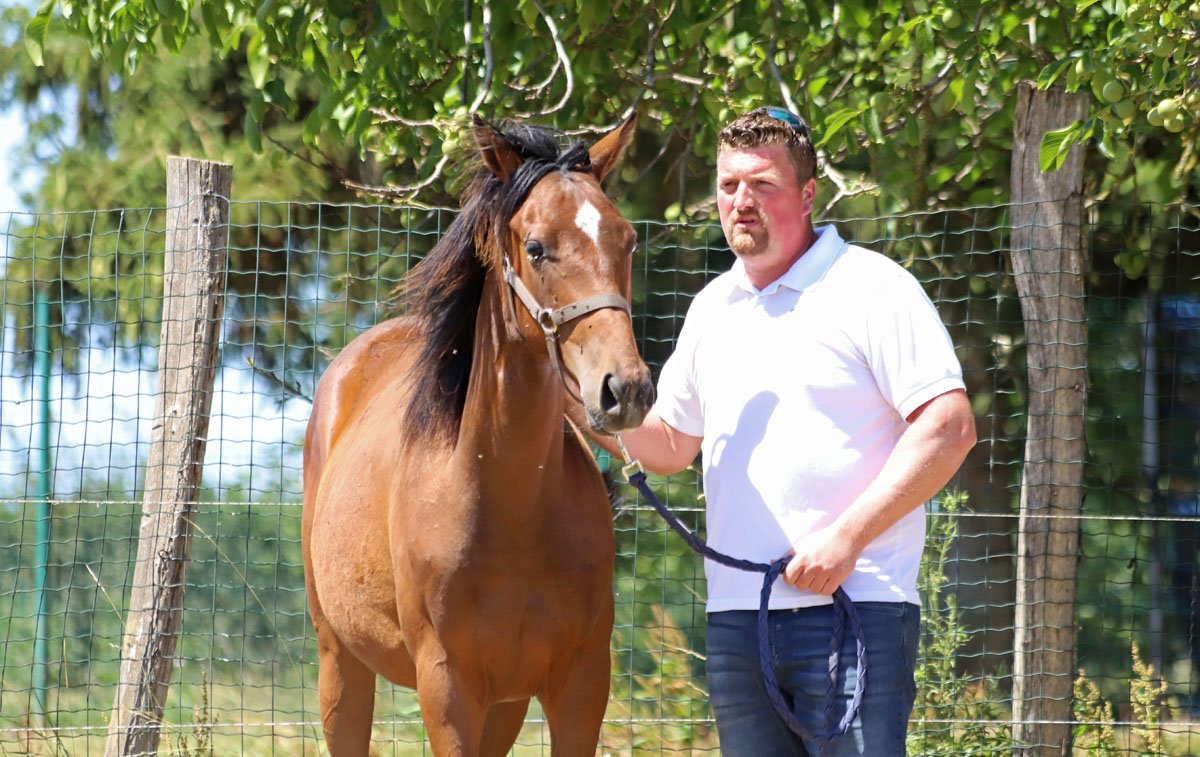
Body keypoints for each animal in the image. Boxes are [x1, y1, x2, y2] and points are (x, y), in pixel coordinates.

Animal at [302, 114, 654, 755]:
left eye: (627, 240)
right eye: (535, 247)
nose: (626, 389)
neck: (508, 509)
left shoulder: (581, 682)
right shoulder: (447, 685)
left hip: (505, 705)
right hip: (340, 662)